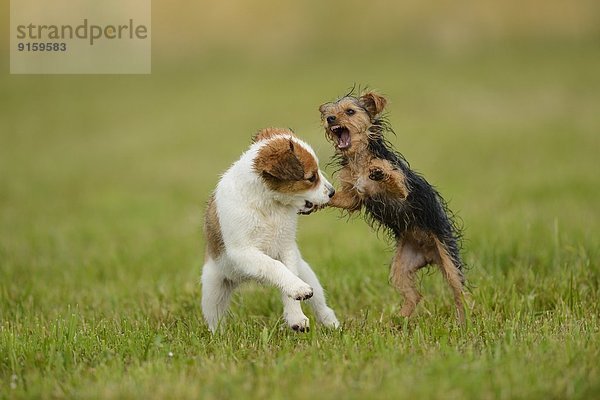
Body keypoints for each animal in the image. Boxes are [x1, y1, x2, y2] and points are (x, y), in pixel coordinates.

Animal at [204, 128, 340, 332]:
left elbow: (288, 280)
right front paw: (297, 290)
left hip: (306, 271)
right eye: (311, 178)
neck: (268, 204)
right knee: (215, 318)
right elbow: (273, 265)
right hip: (213, 289)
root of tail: (241, 279)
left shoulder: (286, 248)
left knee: (319, 301)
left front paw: (296, 316)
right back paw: (218, 335)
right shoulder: (242, 252)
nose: (332, 193)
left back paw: (330, 322)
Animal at [318, 90, 468, 322]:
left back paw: (463, 321)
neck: (359, 160)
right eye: (329, 113)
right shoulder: (352, 196)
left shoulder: (403, 192)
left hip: (447, 255)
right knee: (414, 296)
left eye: (350, 111)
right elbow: (339, 197)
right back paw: (397, 320)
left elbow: (393, 179)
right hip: (401, 267)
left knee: (459, 292)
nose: (330, 119)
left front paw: (380, 172)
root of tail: (429, 254)